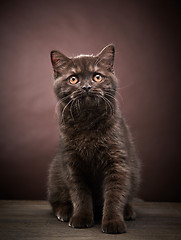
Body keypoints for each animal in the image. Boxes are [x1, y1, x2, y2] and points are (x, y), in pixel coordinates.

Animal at [47, 44, 141, 233]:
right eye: (73, 79)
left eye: (97, 76)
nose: (86, 87)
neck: (88, 119)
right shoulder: (72, 163)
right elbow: (79, 194)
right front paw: (81, 218)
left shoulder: (118, 161)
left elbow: (115, 194)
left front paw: (113, 222)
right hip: (55, 173)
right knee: (55, 200)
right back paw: (64, 212)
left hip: (135, 172)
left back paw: (128, 211)